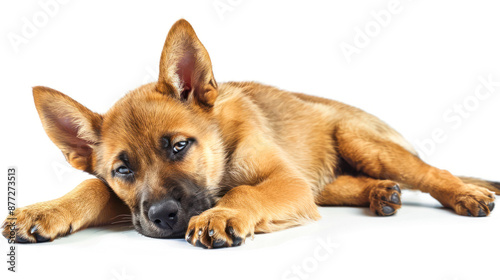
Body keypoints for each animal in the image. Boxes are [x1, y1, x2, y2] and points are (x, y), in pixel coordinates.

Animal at [1, 18, 498, 248]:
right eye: (122, 170)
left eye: (179, 146)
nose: (164, 217)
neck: (221, 148)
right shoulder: (130, 201)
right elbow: (91, 186)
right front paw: (44, 211)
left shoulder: (287, 181)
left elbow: (245, 192)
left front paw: (221, 215)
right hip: (326, 181)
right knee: (352, 183)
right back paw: (381, 194)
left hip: (361, 141)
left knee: (432, 171)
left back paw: (467, 193)